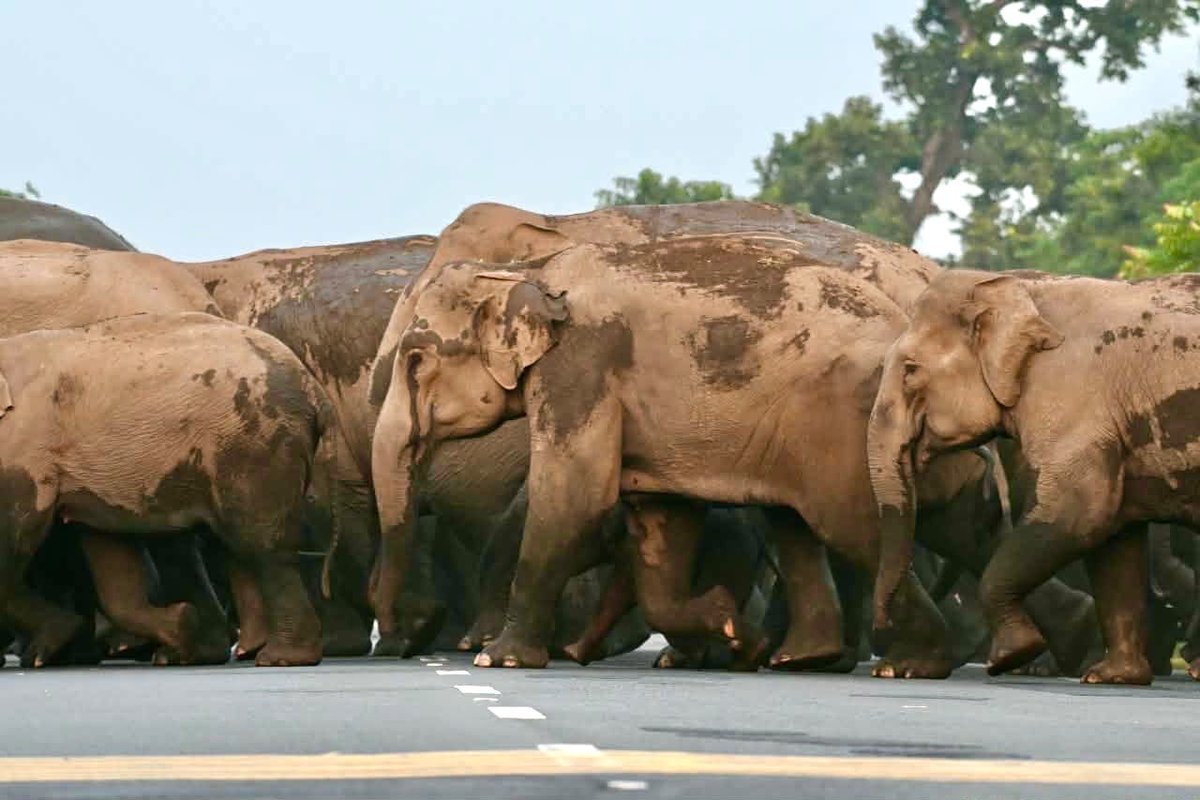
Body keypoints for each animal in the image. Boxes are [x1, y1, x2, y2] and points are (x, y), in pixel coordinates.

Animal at [867, 268, 1200, 685]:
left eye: (910, 370)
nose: (880, 628)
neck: (1018, 289)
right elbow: (1114, 538)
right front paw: (1109, 677)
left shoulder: (1072, 400)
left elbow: (1078, 513)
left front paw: (1009, 658)